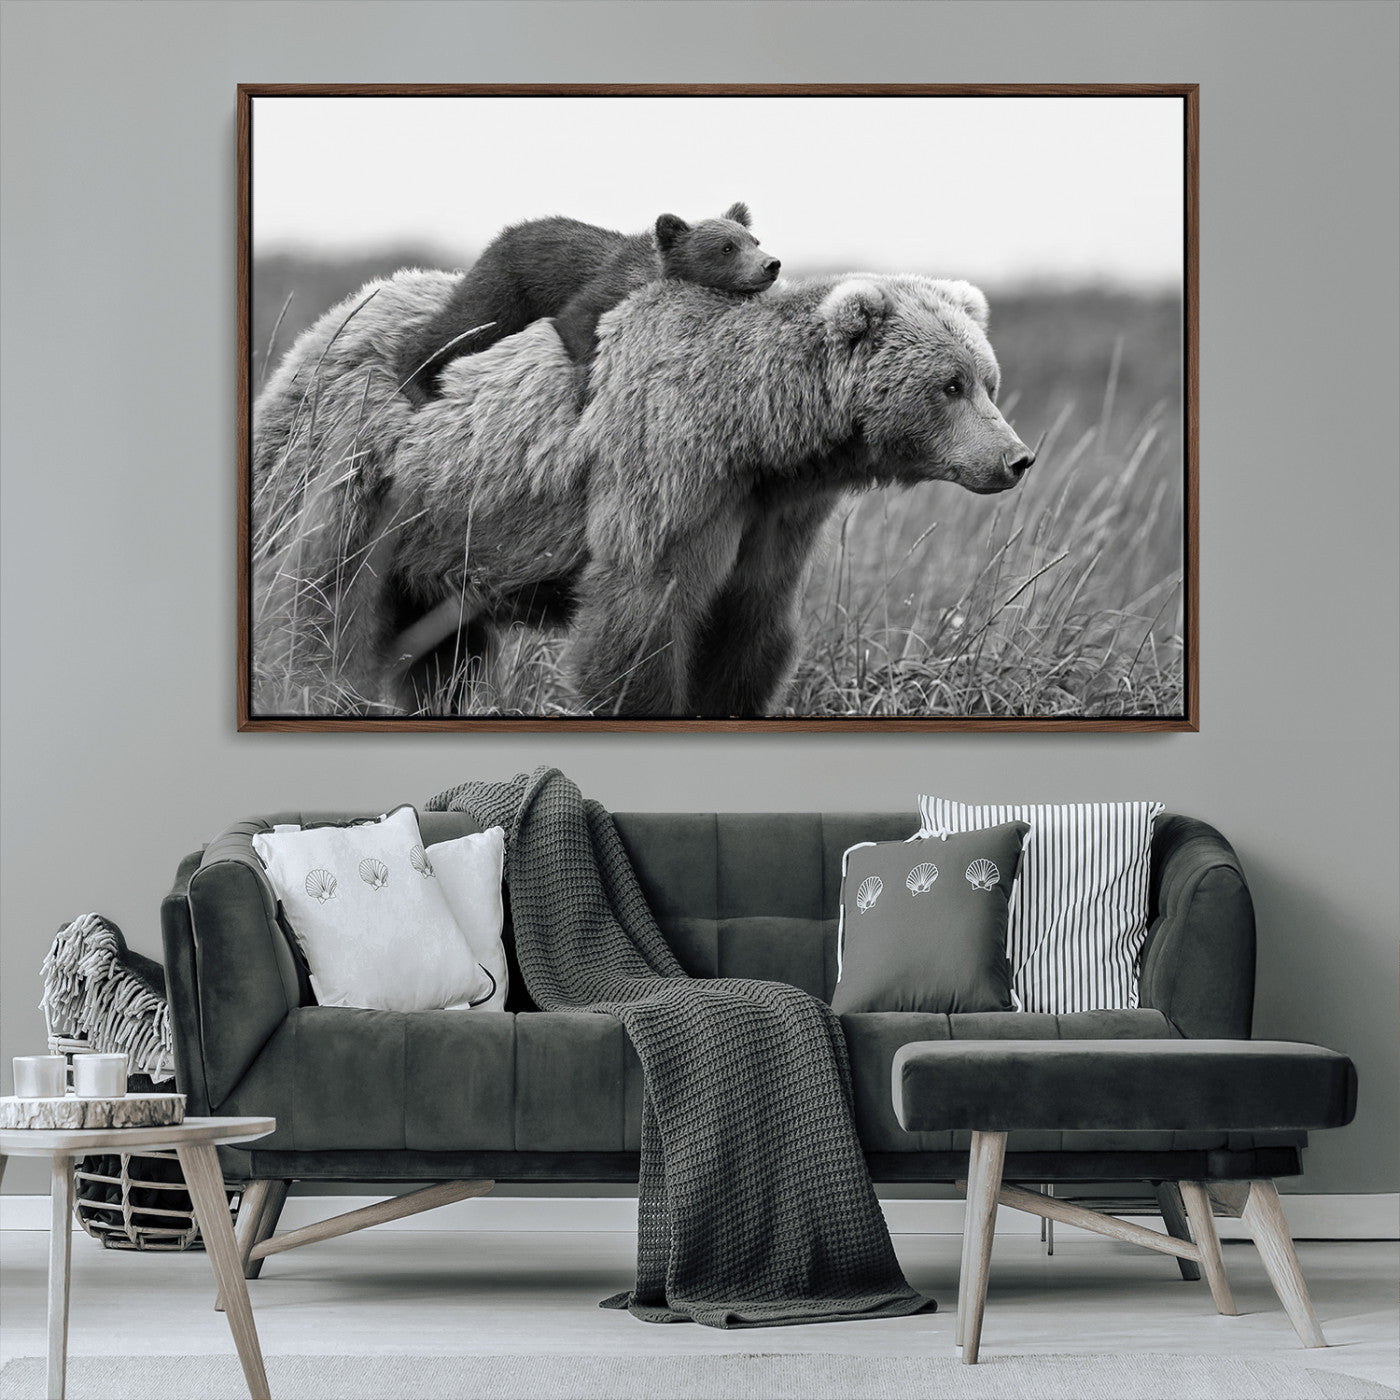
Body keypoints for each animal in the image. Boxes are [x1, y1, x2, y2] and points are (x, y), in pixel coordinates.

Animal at [250, 268, 1035, 719]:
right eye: (950, 385)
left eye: (988, 380)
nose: (1016, 457)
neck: (761, 432)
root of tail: (326, 323)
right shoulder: (668, 467)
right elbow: (641, 613)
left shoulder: (773, 515)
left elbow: (749, 626)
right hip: (356, 474)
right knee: (319, 604)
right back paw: (310, 687)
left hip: (441, 532)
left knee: (443, 653)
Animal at [392, 202, 779, 405]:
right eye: (726, 247)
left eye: (754, 240)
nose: (771, 264)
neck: (652, 272)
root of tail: (502, 235)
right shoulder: (606, 286)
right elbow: (576, 320)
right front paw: (585, 390)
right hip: (506, 287)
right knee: (464, 324)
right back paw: (417, 382)